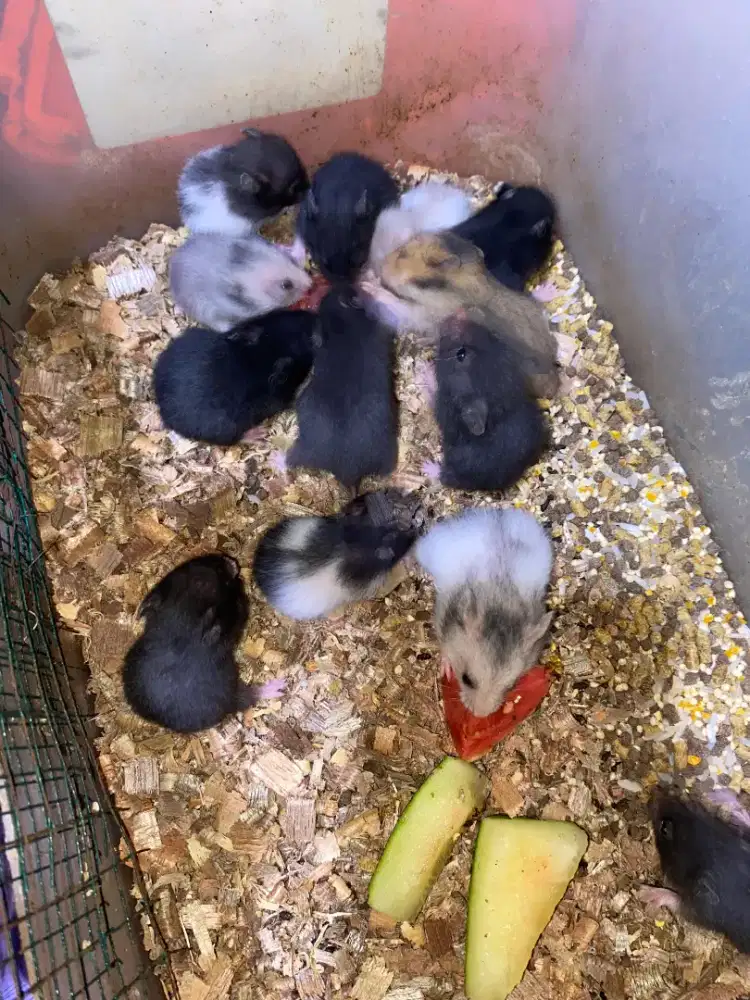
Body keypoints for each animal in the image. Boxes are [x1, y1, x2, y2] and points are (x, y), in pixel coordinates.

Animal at [123, 554, 284, 733]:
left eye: (195, 562)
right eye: (222, 574)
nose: (230, 560)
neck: (180, 620)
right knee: (250, 696)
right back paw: (279, 686)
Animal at [153, 310, 316, 446]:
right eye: (310, 338)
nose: (315, 314)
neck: (260, 355)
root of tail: (161, 406)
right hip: (224, 427)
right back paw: (258, 435)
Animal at [370, 231, 559, 397]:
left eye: (402, 256)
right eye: (402, 249)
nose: (380, 265)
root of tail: (553, 372)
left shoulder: (424, 315)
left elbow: (397, 304)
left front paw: (368, 282)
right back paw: (548, 290)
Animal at [415, 508, 553, 717]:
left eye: (511, 685)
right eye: (466, 679)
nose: (480, 715)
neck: (498, 603)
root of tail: (494, 515)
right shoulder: (442, 619)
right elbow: (445, 649)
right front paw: (446, 669)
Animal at [643, 790, 750, 953]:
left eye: (664, 828)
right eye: (693, 807)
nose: (655, 792)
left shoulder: (704, 909)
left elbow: (676, 901)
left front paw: (646, 893)